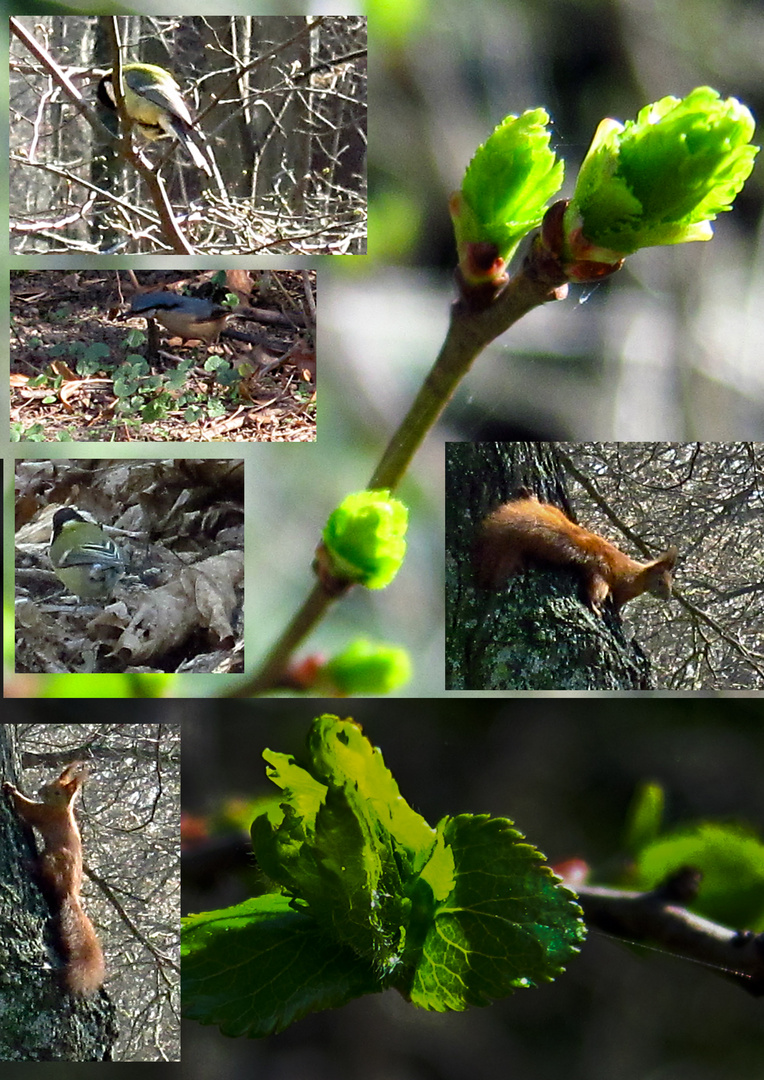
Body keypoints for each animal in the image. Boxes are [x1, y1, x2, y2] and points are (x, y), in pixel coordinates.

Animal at [4, 760, 105, 993]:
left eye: (58, 791)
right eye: (51, 782)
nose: (41, 790)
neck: (61, 809)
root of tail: (70, 893)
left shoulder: (41, 814)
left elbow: (26, 808)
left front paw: (10, 789)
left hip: (53, 858)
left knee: (46, 879)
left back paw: (31, 867)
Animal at [475, 492, 678, 613]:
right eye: (660, 582)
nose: (667, 598)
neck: (639, 577)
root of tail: (593, 550)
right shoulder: (623, 589)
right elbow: (618, 603)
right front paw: (618, 616)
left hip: (554, 511)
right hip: (600, 578)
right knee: (593, 594)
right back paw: (595, 608)